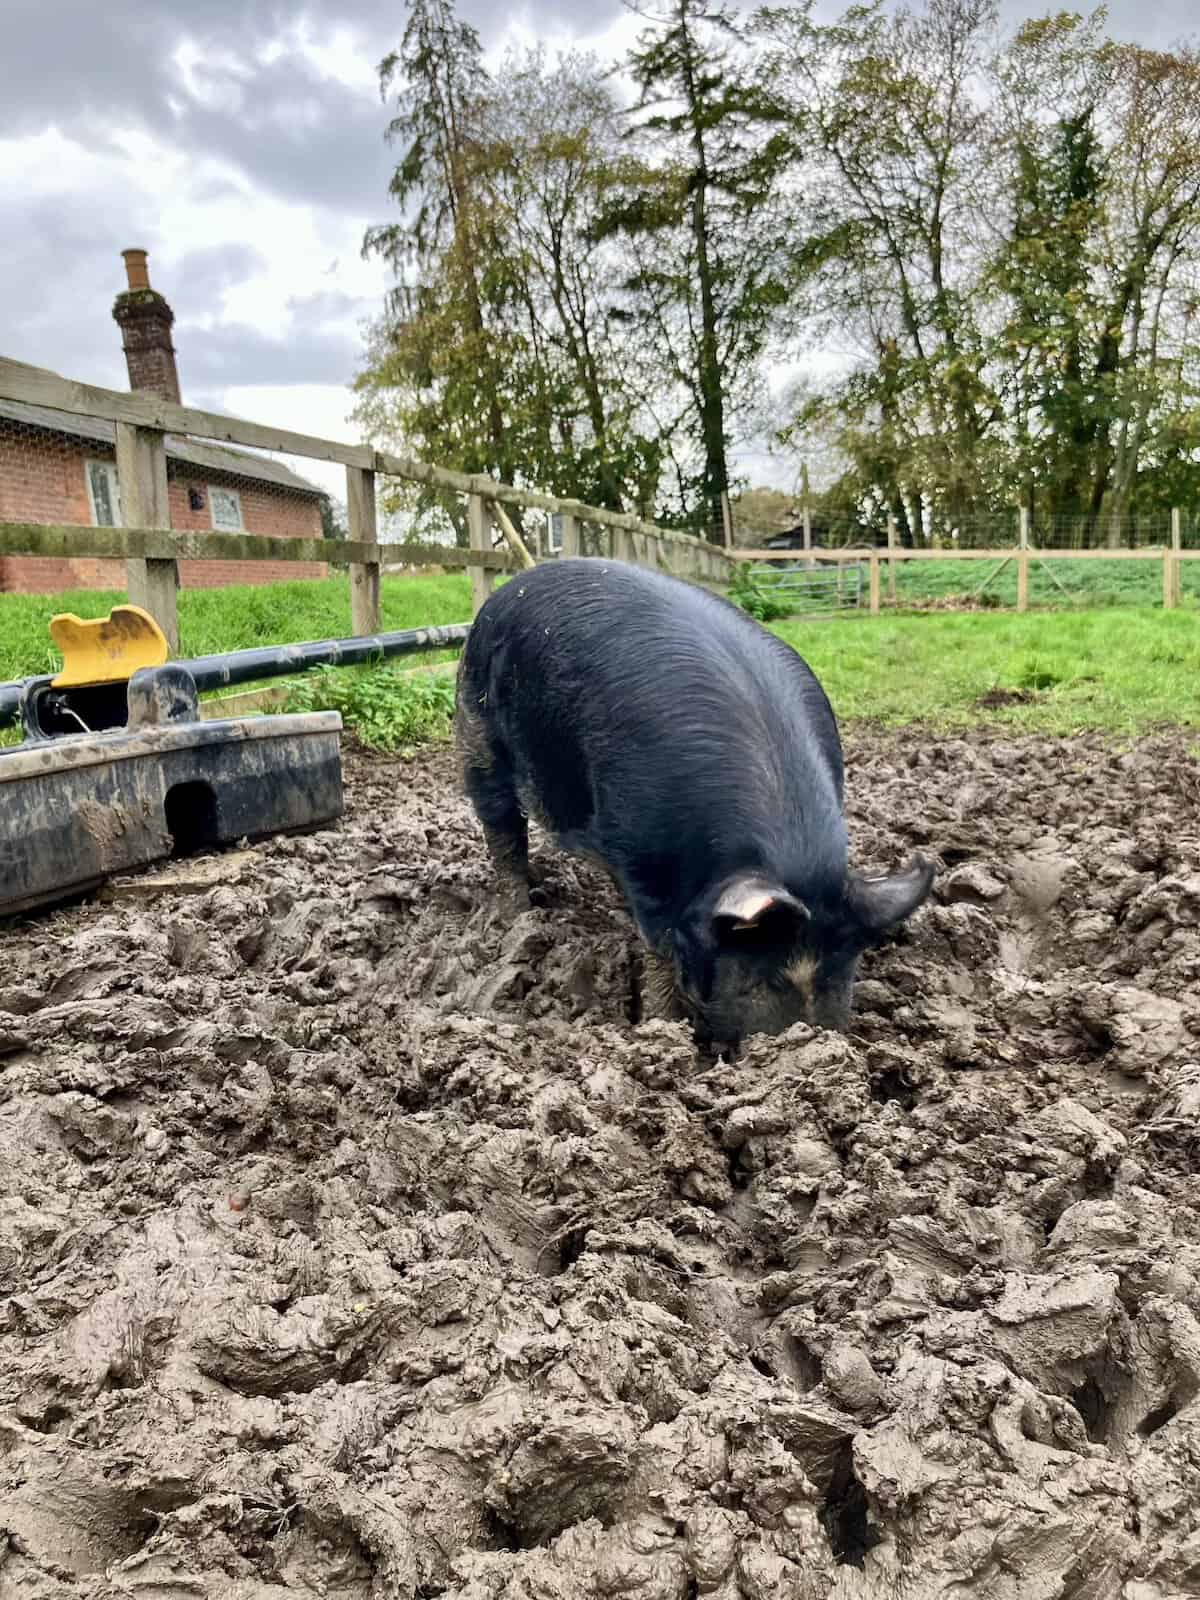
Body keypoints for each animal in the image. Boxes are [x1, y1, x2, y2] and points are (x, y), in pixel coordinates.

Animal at [455, 557, 933, 1043]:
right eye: (755, 981)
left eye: (843, 977)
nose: (801, 1033)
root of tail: (508, 589)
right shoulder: (641, 855)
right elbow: (659, 949)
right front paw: (662, 1026)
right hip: (476, 728)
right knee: (501, 827)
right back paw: (517, 914)